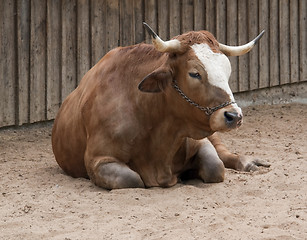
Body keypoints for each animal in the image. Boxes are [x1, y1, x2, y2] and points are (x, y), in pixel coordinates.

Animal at [52, 23, 270, 190]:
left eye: (228, 71)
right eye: (194, 73)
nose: (234, 116)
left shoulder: (200, 142)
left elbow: (215, 166)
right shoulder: (98, 160)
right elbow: (132, 179)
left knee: (224, 154)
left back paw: (248, 162)